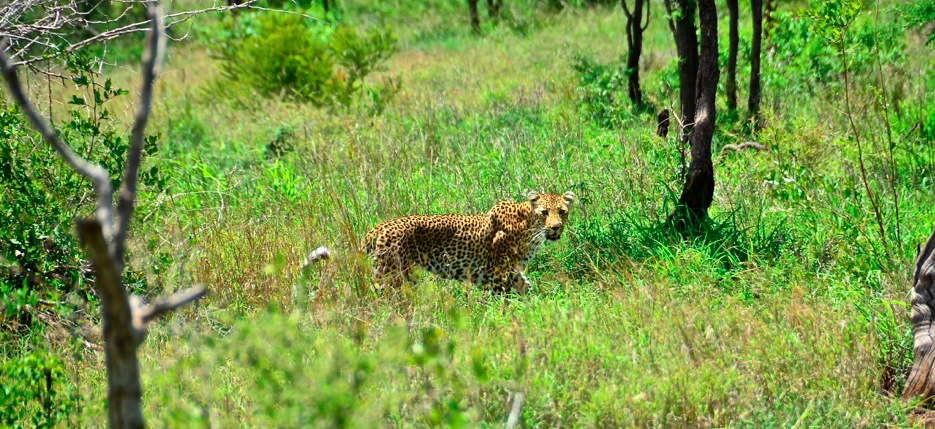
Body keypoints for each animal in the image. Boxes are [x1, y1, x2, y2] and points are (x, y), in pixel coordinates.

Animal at [363, 191, 575, 293]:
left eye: (562, 212)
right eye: (544, 212)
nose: (556, 227)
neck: (531, 229)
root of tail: (379, 227)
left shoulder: (513, 271)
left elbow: (526, 288)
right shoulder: (498, 272)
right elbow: (502, 300)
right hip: (390, 275)